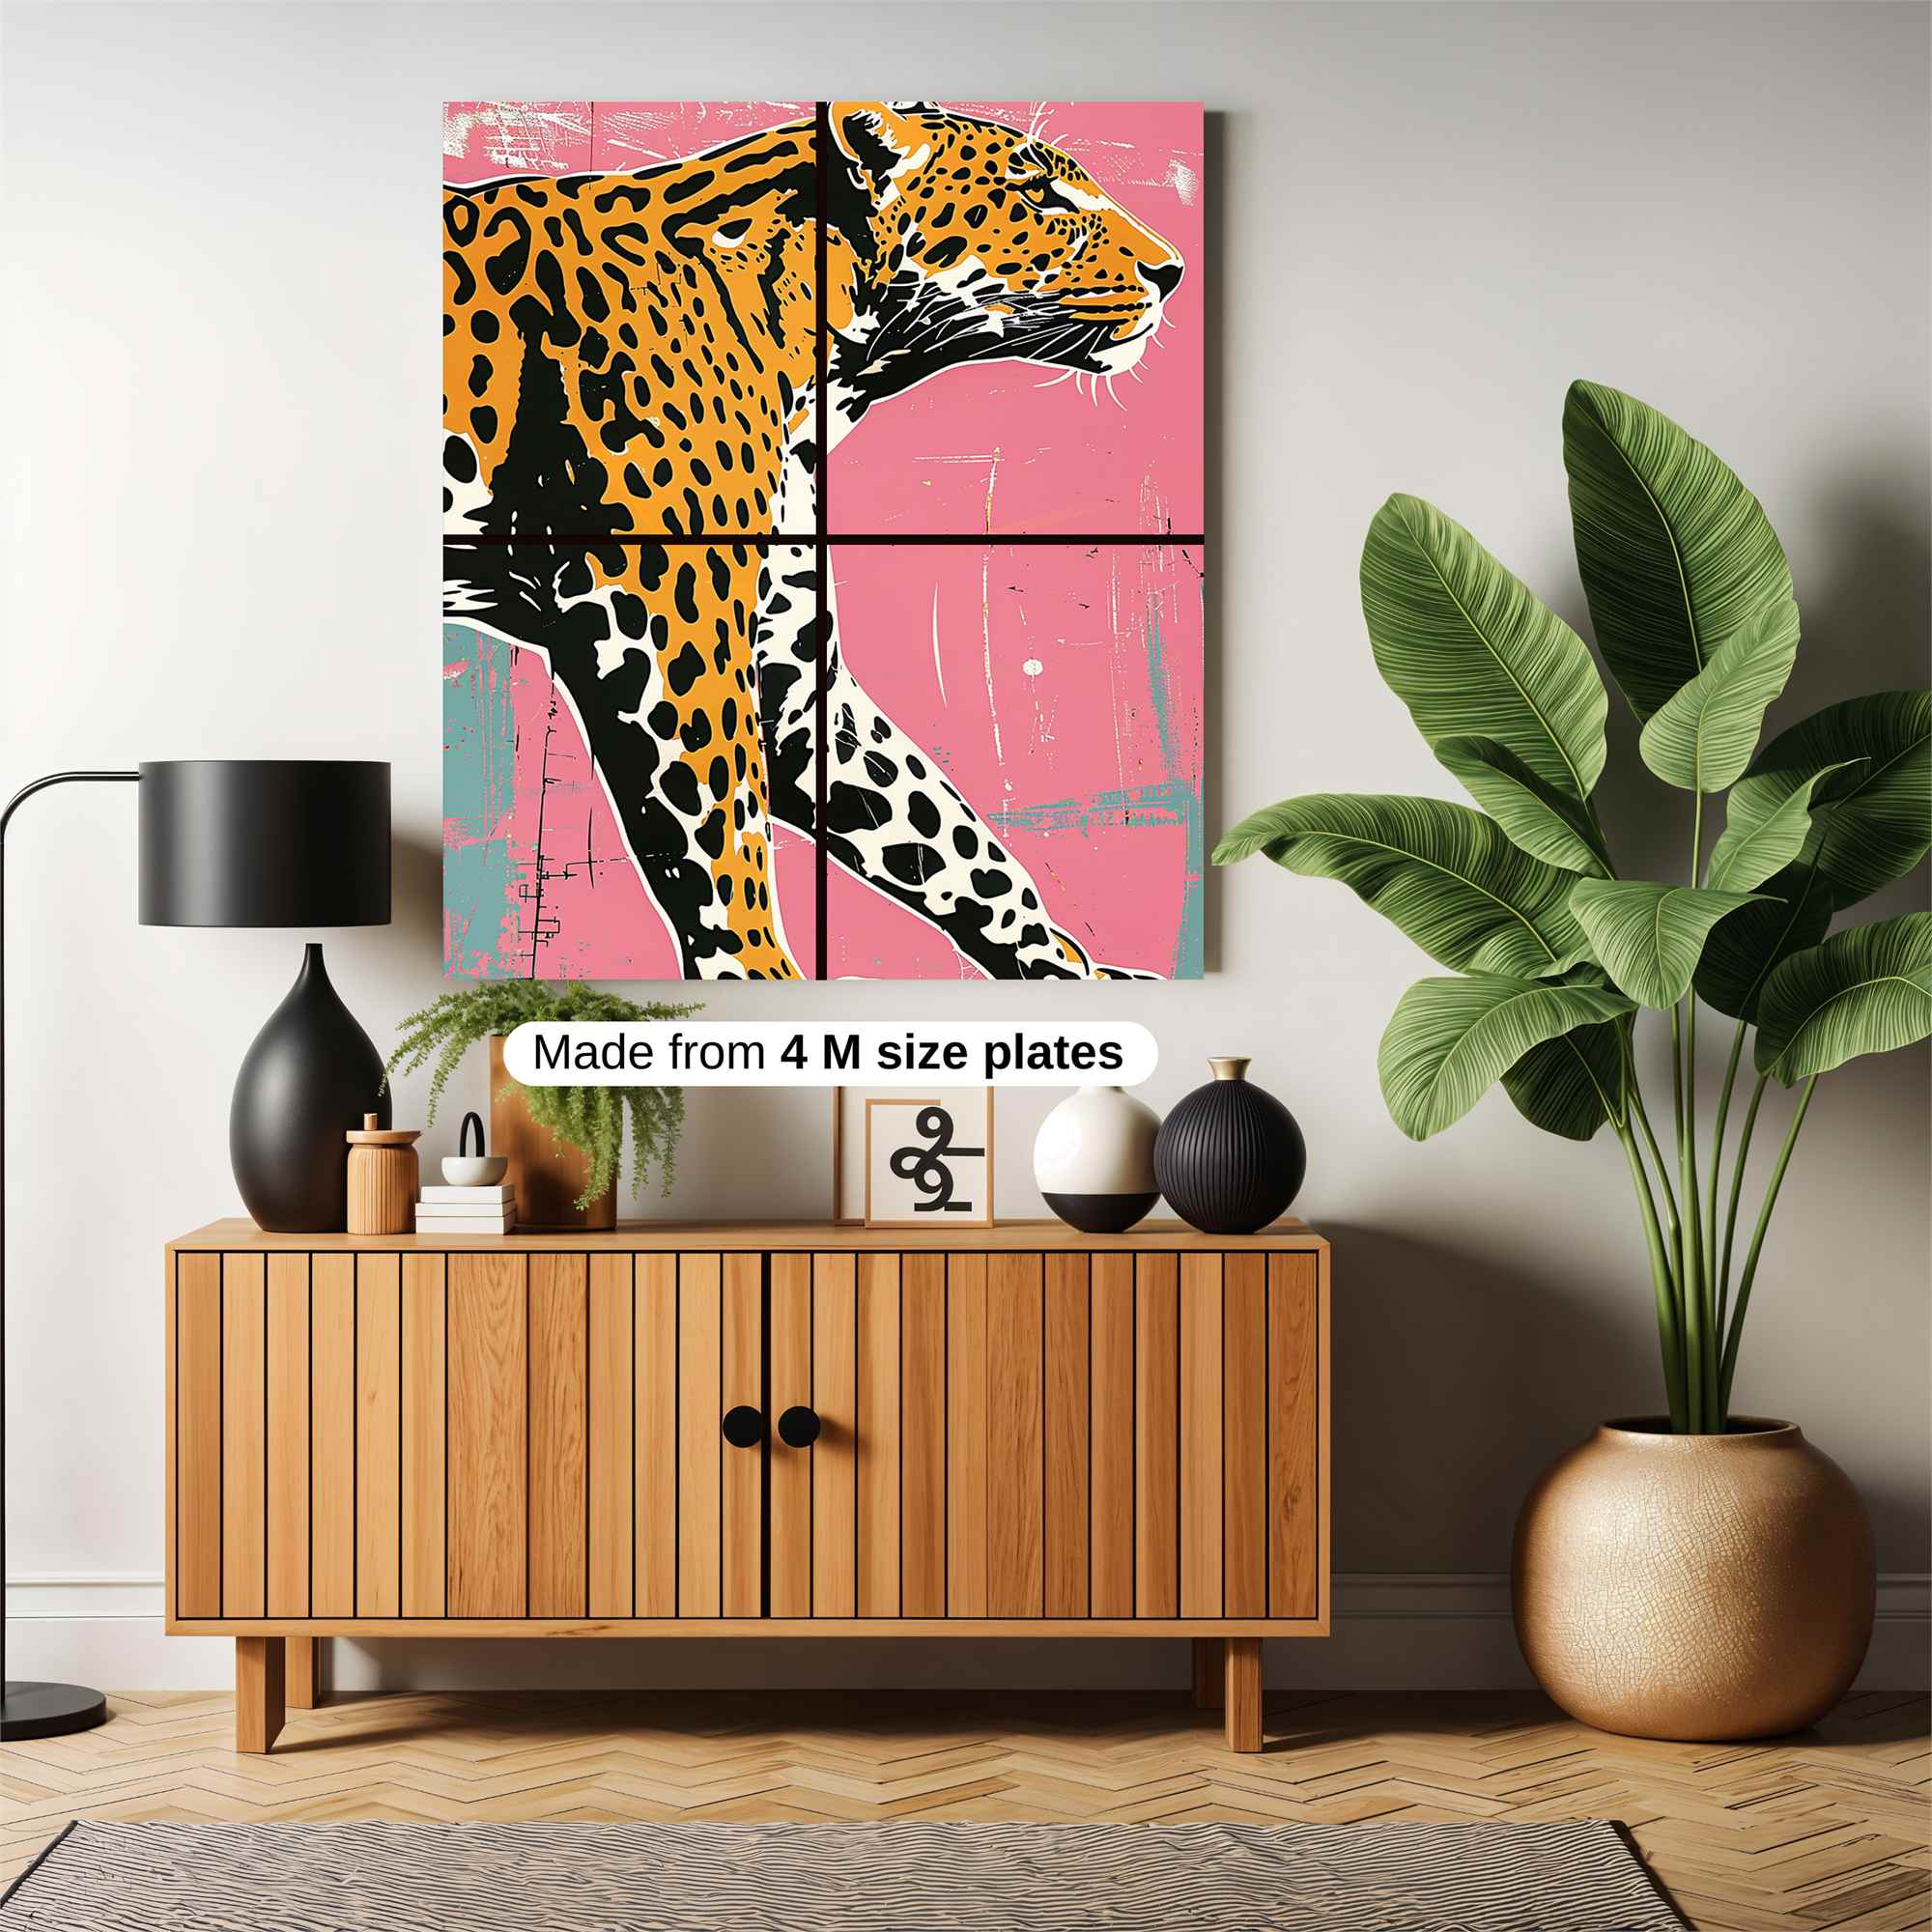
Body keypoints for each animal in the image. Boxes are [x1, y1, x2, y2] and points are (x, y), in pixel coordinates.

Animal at [443, 101, 1184, 979]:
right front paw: (757, 976)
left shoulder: (794, 685)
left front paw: (1065, 968)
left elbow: (947, 836)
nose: (1174, 271)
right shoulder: (666, 632)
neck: (828, 373)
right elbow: (724, 835)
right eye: (1038, 195)